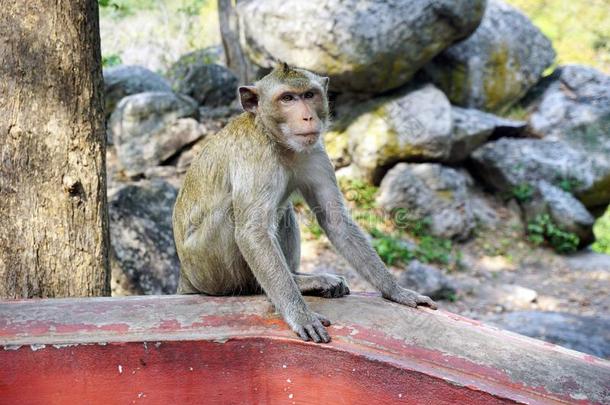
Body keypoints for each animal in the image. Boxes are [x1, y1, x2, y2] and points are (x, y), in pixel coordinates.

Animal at [173, 62, 434, 340]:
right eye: (287, 98)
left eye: (309, 95)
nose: (307, 117)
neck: (278, 142)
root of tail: (185, 276)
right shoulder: (256, 158)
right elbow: (253, 231)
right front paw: (300, 315)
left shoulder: (316, 154)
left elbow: (335, 220)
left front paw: (397, 291)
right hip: (207, 268)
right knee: (232, 215)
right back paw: (289, 284)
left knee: (284, 210)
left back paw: (303, 279)